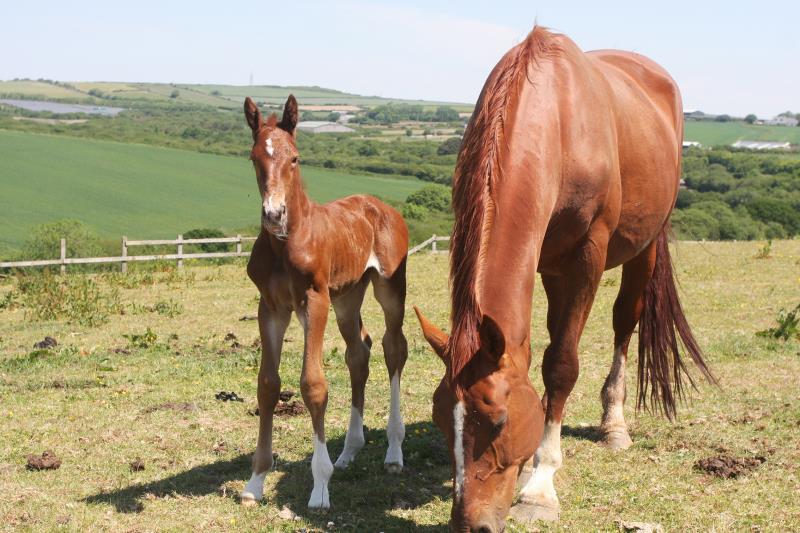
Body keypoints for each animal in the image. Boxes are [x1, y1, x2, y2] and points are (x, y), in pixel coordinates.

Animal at [239, 95, 410, 508]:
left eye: (295, 158)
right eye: (254, 157)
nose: (274, 214)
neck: (286, 243)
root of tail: (382, 207)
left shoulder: (313, 301)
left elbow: (313, 384)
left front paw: (320, 486)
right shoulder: (271, 307)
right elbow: (267, 384)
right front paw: (256, 481)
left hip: (389, 289)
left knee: (394, 348)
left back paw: (394, 452)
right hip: (347, 296)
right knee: (359, 353)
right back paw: (349, 451)